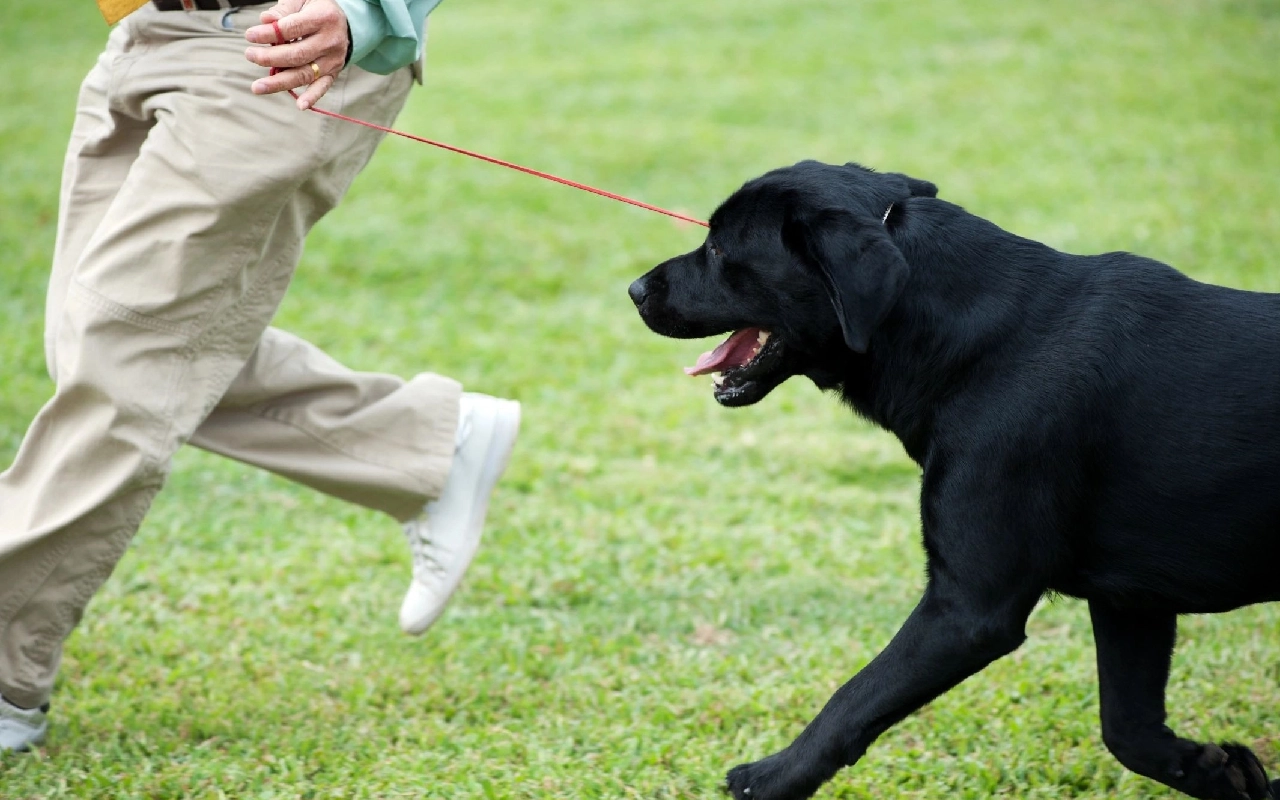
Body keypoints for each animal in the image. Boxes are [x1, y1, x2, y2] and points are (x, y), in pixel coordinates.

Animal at [627, 159, 1280, 793]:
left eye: (718, 248)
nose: (633, 289)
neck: (969, 343)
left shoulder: (968, 608)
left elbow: (852, 701)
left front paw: (768, 779)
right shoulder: (1130, 598)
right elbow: (1131, 730)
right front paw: (1225, 772)